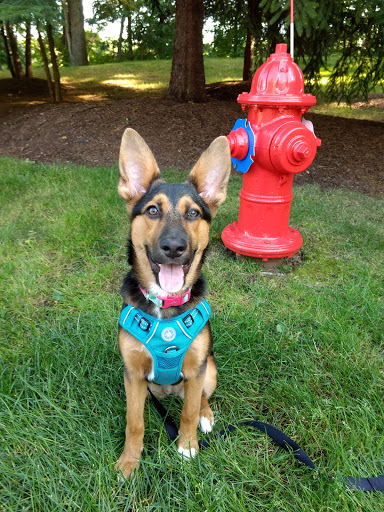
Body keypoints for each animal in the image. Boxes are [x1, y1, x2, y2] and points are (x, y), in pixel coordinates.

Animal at [115, 129, 231, 480]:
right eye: (153, 210)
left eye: (193, 213)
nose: (174, 247)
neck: (165, 308)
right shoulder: (133, 376)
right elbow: (134, 422)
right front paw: (129, 461)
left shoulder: (196, 368)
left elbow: (189, 411)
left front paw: (187, 445)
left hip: (210, 369)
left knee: (202, 397)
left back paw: (207, 416)